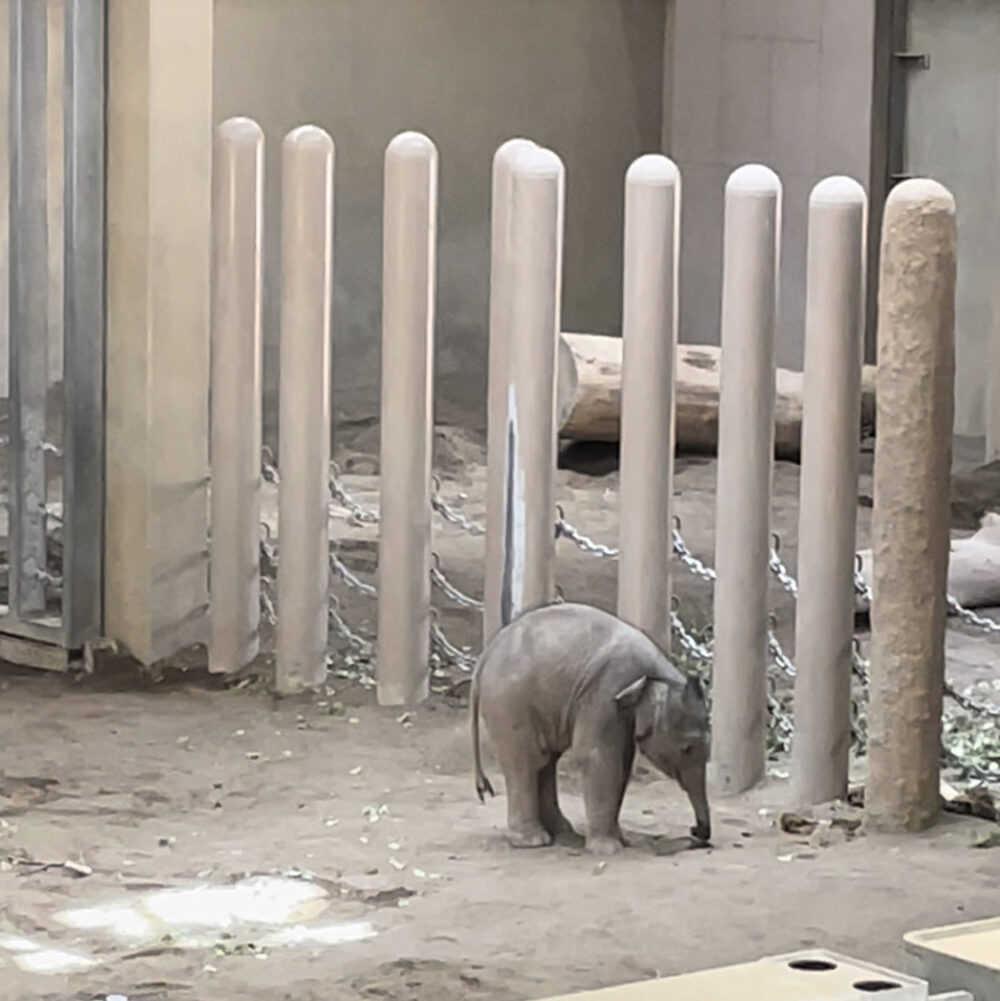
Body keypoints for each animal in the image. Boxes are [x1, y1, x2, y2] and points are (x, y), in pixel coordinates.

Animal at [470, 596, 712, 856]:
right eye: (687, 749)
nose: (696, 833)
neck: (660, 674)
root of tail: (485, 655)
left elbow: (623, 762)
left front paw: (622, 840)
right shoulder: (605, 691)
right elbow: (598, 756)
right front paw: (609, 849)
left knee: (545, 761)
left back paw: (564, 834)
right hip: (509, 703)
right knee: (527, 761)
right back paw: (533, 841)